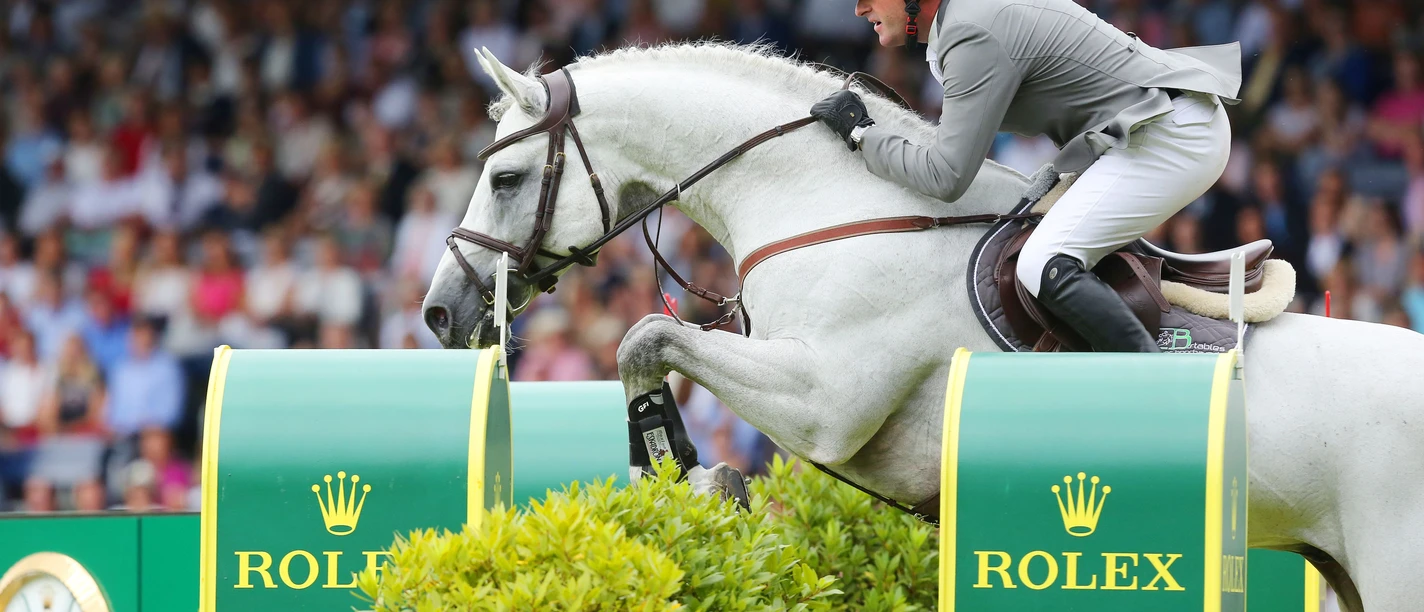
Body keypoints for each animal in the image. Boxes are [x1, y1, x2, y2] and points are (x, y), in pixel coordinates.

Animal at [419, 41, 1424, 611]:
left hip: (1393, 569)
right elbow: (650, 346)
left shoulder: (824, 398)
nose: (439, 310)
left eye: (505, 179)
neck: (831, 204)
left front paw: (687, 472)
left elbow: (646, 339)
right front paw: (692, 484)